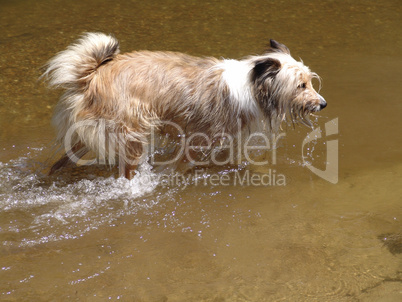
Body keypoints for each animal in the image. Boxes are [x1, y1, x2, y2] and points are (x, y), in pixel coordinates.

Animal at [42, 32, 326, 179]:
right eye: (301, 85)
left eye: (309, 81)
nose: (323, 104)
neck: (253, 85)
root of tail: (91, 76)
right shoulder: (196, 141)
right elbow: (180, 166)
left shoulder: (227, 142)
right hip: (131, 133)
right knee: (127, 169)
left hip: (88, 133)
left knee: (65, 157)